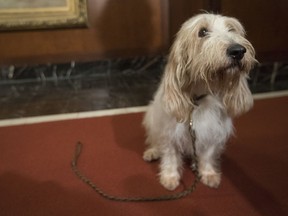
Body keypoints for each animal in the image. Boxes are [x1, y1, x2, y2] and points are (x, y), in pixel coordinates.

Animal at [142, 13, 256, 190]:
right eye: (202, 32)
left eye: (231, 29)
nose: (238, 51)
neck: (200, 98)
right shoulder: (169, 132)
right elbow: (170, 156)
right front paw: (170, 177)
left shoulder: (213, 132)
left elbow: (208, 155)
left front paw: (208, 173)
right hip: (151, 118)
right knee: (154, 139)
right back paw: (152, 151)